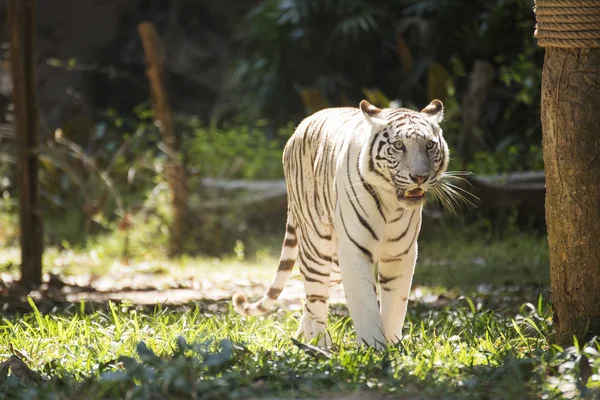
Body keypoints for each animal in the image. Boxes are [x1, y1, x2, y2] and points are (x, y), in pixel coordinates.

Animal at [234, 99, 450, 346]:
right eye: (398, 145)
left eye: (430, 145)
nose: (420, 177)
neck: (390, 202)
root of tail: (301, 125)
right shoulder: (355, 250)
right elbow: (365, 304)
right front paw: (375, 347)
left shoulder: (400, 252)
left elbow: (396, 305)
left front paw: (393, 345)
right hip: (317, 245)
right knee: (315, 297)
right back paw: (318, 344)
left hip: (336, 261)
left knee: (312, 299)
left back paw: (301, 338)